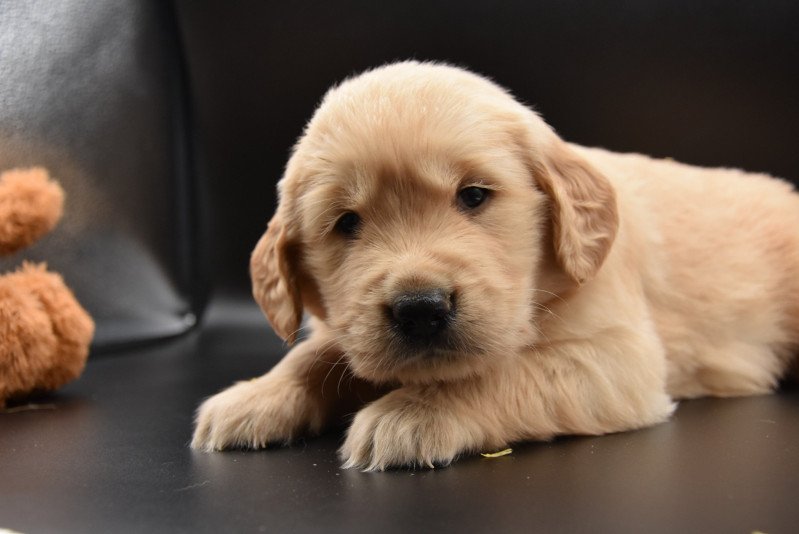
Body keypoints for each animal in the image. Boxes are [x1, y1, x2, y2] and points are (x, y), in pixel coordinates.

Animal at [192, 60, 799, 474]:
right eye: (346, 223)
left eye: (474, 196)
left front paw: (411, 412)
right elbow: (313, 356)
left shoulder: (620, 356)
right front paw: (255, 396)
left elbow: (504, 371)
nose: (420, 310)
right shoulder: (346, 325)